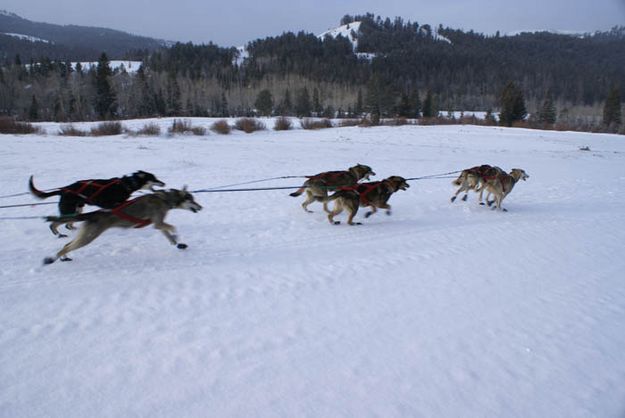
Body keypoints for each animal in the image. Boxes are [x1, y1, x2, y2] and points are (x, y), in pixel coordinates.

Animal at [28, 170, 166, 235]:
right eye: (154, 178)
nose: (163, 183)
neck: (126, 184)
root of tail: (63, 190)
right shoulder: (114, 206)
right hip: (69, 210)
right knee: (54, 224)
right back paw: (58, 234)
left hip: (78, 209)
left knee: (68, 224)